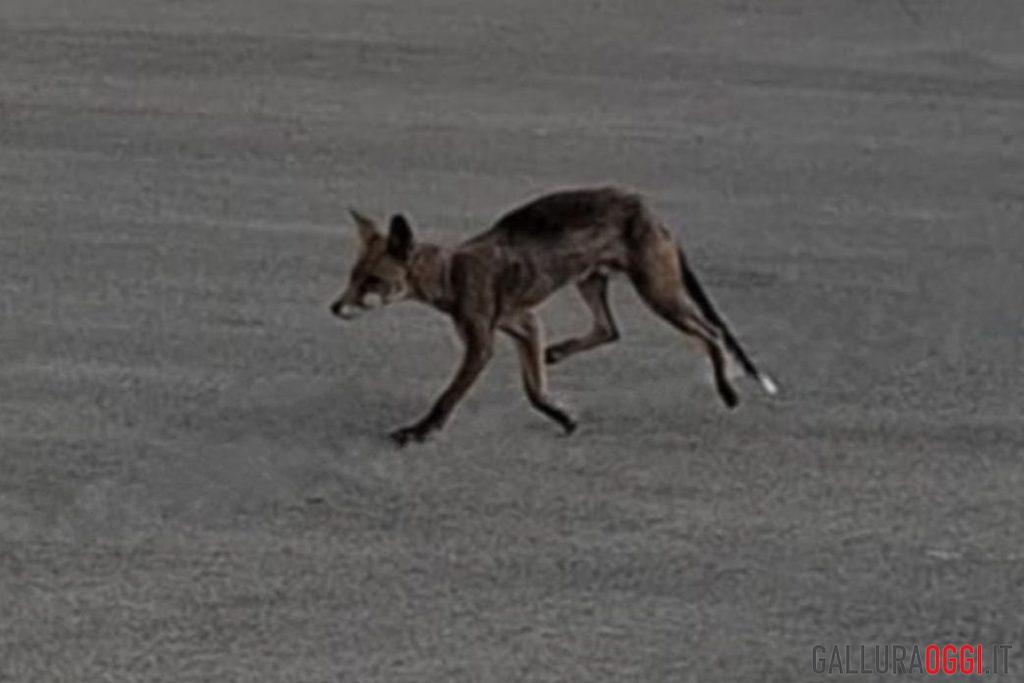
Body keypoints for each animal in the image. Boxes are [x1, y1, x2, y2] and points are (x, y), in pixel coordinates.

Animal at [329, 186, 777, 446]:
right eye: (352, 277)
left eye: (372, 281)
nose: (334, 308)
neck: (453, 272)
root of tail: (651, 211)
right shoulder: (525, 325)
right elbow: (534, 390)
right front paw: (563, 416)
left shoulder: (482, 343)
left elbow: (448, 396)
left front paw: (420, 431)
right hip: (591, 281)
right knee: (609, 330)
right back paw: (558, 353)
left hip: (658, 293)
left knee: (711, 332)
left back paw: (727, 390)